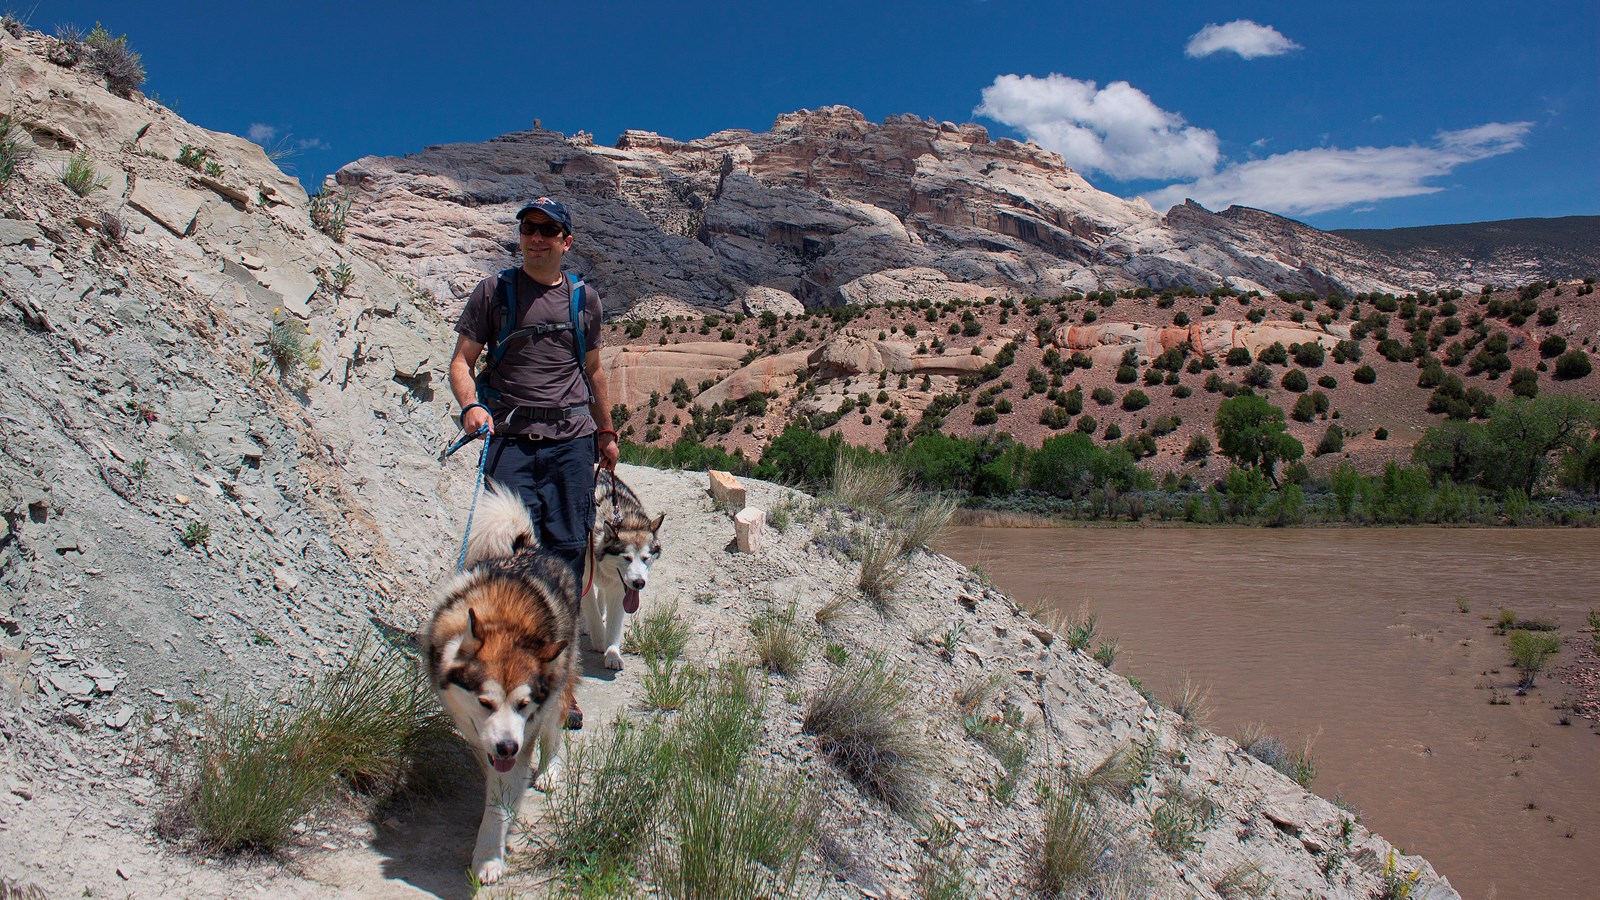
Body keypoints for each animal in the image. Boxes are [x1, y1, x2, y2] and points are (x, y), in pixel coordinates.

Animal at [422, 483, 579, 883]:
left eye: (523, 704)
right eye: (485, 702)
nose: (508, 746)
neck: (503, 620)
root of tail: (528, 547)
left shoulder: (526, 729)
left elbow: (500, 800)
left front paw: (489, 855)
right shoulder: (476, 731)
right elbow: (490, 774)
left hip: (559, 683)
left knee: (553, 730)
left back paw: (550, 771)